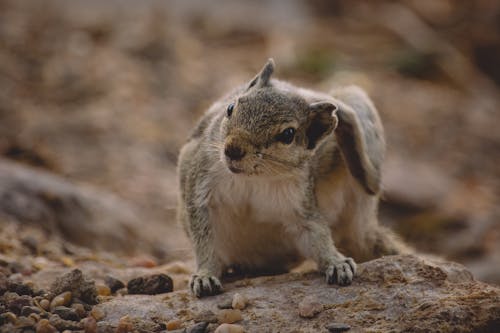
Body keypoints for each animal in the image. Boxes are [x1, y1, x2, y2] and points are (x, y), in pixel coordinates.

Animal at [177, 58, 410, 296]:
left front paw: (336, 262)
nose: (233, 149)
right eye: (231, 108)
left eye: (288, 134)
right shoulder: (202, 188)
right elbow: (205, 240)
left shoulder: (299, 205)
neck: (254, 178)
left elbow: (316, 233)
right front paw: (205, 275)